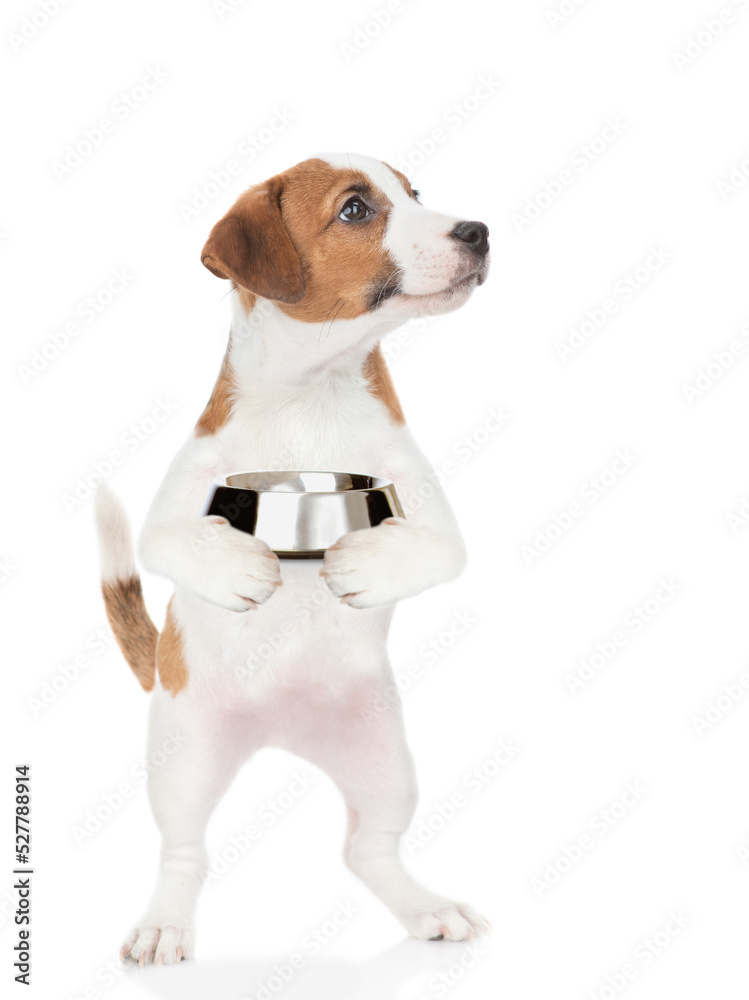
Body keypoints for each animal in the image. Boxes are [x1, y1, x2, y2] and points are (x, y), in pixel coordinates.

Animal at [95, 152, 490, 964]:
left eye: (416, 194)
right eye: (355, 209)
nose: (478, 231)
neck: (314, 393)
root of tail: (281, 732)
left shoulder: (436, 524)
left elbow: (430, 548)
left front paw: (358, 564)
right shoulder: (170, 513)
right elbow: (178, 541)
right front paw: (244, 568)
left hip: (386, 764)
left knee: (368, 849)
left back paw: (425, 908)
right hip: (184, 762)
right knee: (184, 852)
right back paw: (165, 924)